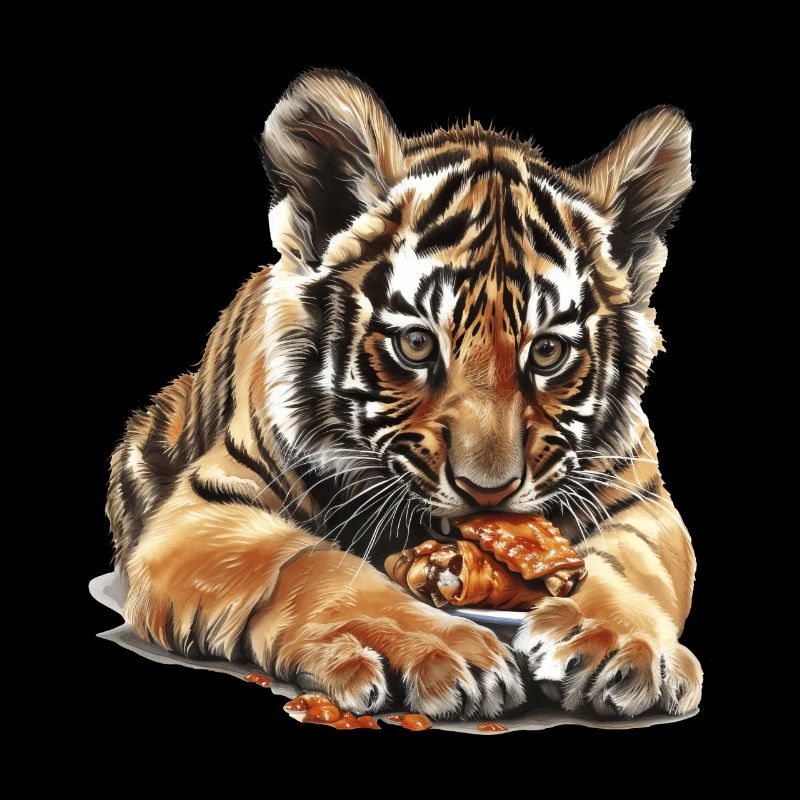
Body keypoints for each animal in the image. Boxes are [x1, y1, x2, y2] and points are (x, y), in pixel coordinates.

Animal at [106, 68, 702, 721]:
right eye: (416, 344)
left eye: (547, 352)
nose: (487, 493)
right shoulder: (207, 512)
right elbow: (313, 567)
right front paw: (433, 648)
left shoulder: (643, 502)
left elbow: (629, 567)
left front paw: (618, 641)